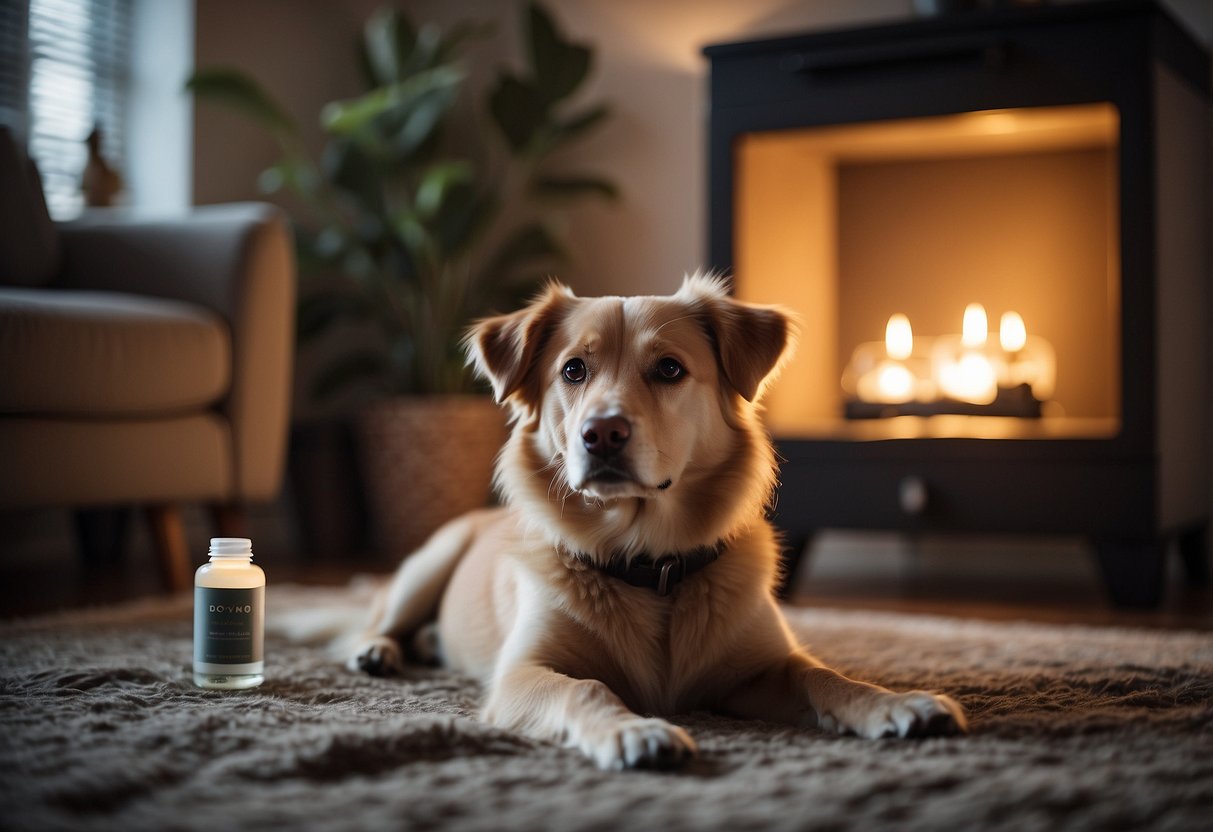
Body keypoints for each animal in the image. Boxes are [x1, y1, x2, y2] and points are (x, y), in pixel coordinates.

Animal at [349, 276, 965, 771]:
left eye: (669, 368)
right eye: (573, 370)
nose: (601, 433)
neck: (650, 561)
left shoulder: (759, 672)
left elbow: (824, 676)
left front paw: (895, 703)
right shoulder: (522, 674)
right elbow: (588, 690)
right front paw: (635, 731)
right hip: (429, 564)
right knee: (378, 618)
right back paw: (377, 651)